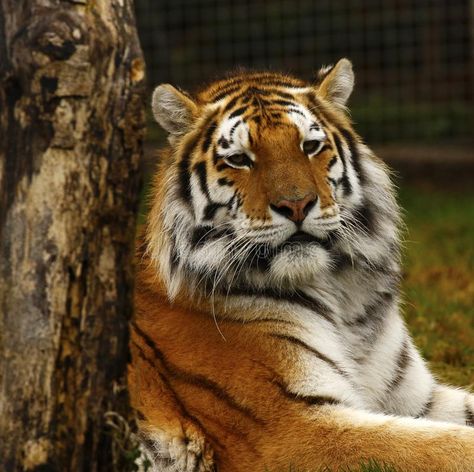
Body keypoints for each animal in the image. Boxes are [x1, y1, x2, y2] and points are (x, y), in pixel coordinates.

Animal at [129, 60, 474, 472]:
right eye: (239, 159)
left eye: (310, 146)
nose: (296, 205)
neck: (344, 298)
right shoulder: (291, 430)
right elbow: (443, 446)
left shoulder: (414, 398)